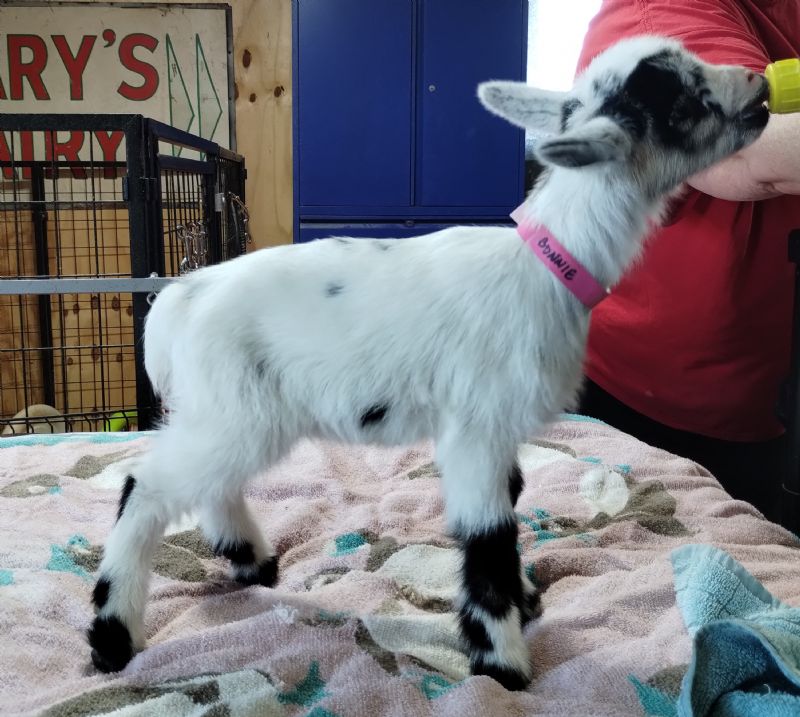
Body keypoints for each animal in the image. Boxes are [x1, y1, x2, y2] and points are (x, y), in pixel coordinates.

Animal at [88, 36, 769, 689]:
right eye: (682, 100)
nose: (761, 84)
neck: (547, 265)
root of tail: (181, 297)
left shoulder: (495, 427)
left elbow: (511, 500)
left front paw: (523, 601)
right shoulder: (478, 427)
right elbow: (490, 534)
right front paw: (502, 661)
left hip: (232, 413)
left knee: (208, 483)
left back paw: (254, 561)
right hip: (235, 410)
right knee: (145, 487)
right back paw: (113, 636)